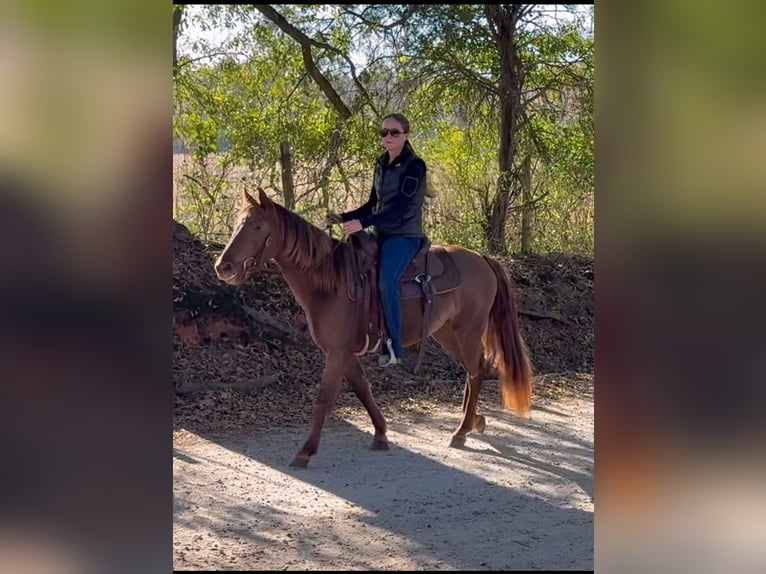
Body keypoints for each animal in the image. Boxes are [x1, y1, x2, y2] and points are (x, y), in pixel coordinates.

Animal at [214, 187, 533, 468]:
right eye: (238, 223)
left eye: (257, 227)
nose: (223, 267)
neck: (329, 281)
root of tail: (483, 259)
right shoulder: (346, 353)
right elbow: (363, 389)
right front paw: (380, 434)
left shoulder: (338, 353)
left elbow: (324, 399)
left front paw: (305, 452)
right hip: (448, 333)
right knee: (473, 370)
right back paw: (473, 422)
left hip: (467, 331)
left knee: (476, 372)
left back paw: (462, 430)